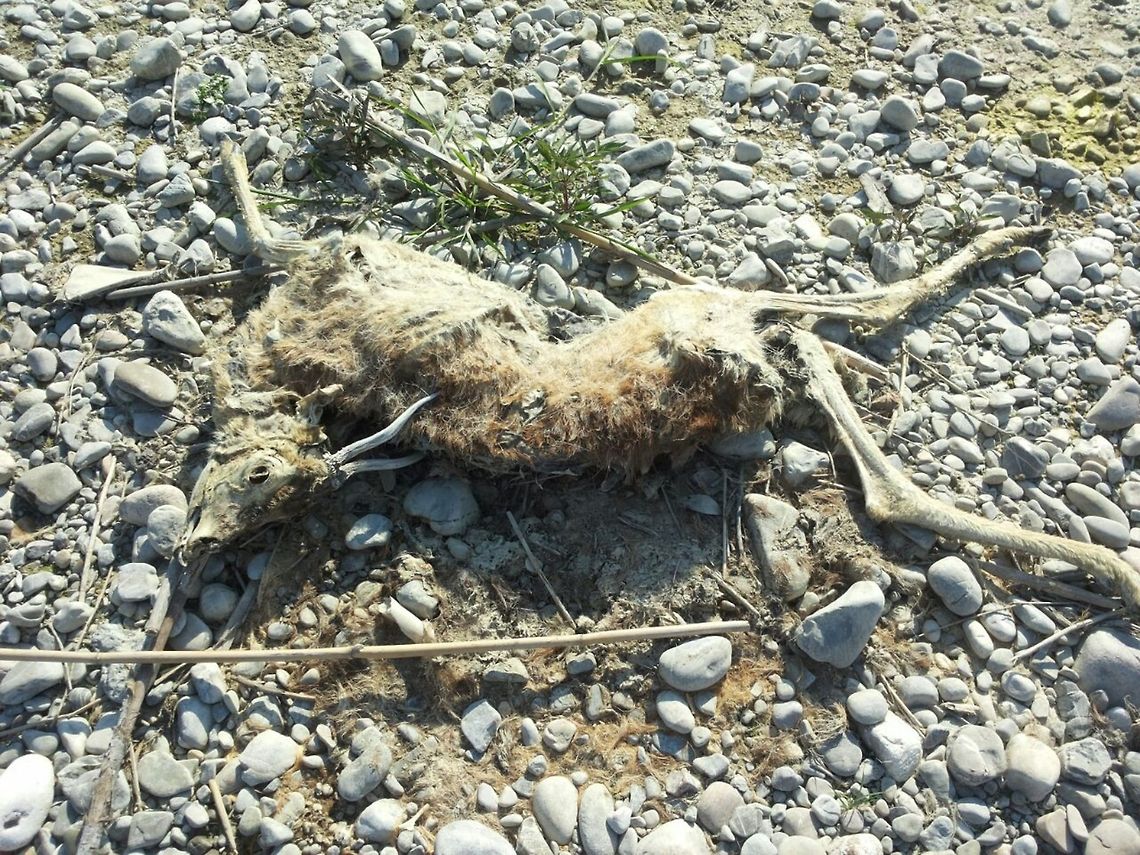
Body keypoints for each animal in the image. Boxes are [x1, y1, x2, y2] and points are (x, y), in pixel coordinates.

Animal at [176, 139, 1140, 609]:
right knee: (821, 350)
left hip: (699, 311)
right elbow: (277, 241)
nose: (193, 547)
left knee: (815, 322)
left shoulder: (366, 284)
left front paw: (235, 165)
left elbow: (281, 237)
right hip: (707, 316)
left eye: (262, 482)